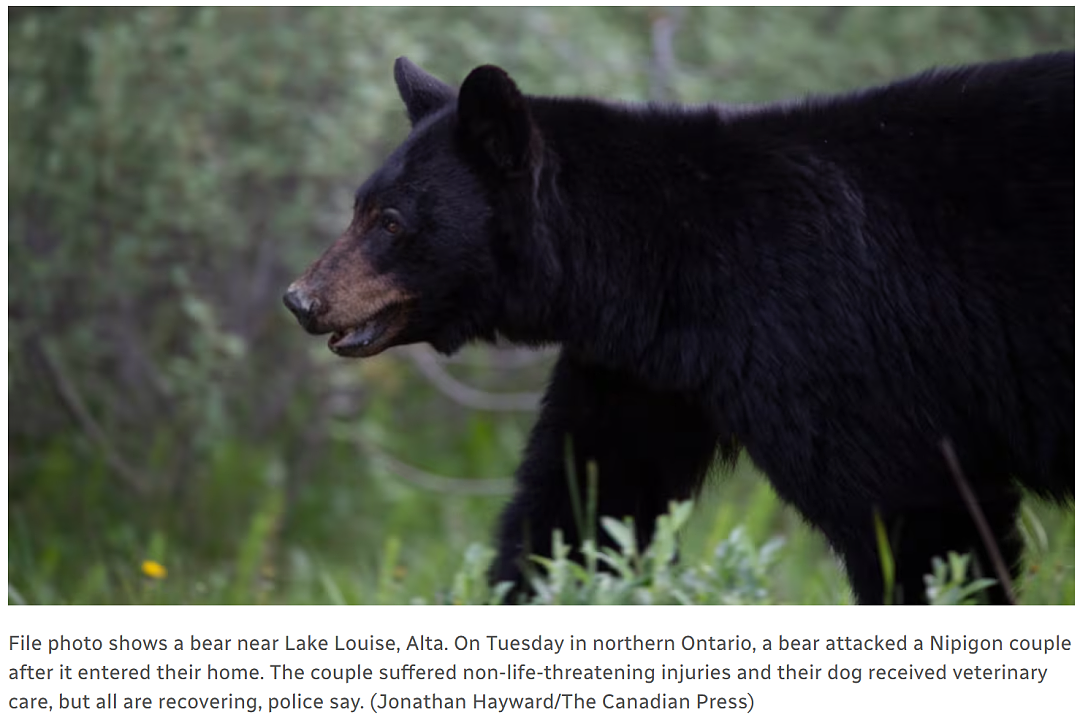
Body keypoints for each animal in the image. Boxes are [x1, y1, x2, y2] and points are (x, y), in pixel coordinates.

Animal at [284, 53, 1074, 604]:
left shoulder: (827, 339)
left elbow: (914, 507)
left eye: (391, 222)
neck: (665, 263)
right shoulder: (643, 370)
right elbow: (584, 501)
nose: (301, 298)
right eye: (360, 205)